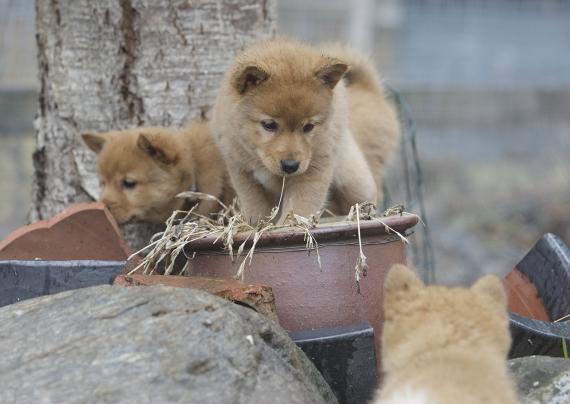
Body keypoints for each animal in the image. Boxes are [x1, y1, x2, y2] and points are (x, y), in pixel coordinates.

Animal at [209, 39, 386, 224]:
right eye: (269, 125)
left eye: (308, 127)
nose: (290, 166)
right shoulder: (243, 173)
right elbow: (256, 210)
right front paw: (258, 227)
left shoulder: (313, 172)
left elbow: (298, 209)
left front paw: (287, 226)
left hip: (355, 182)